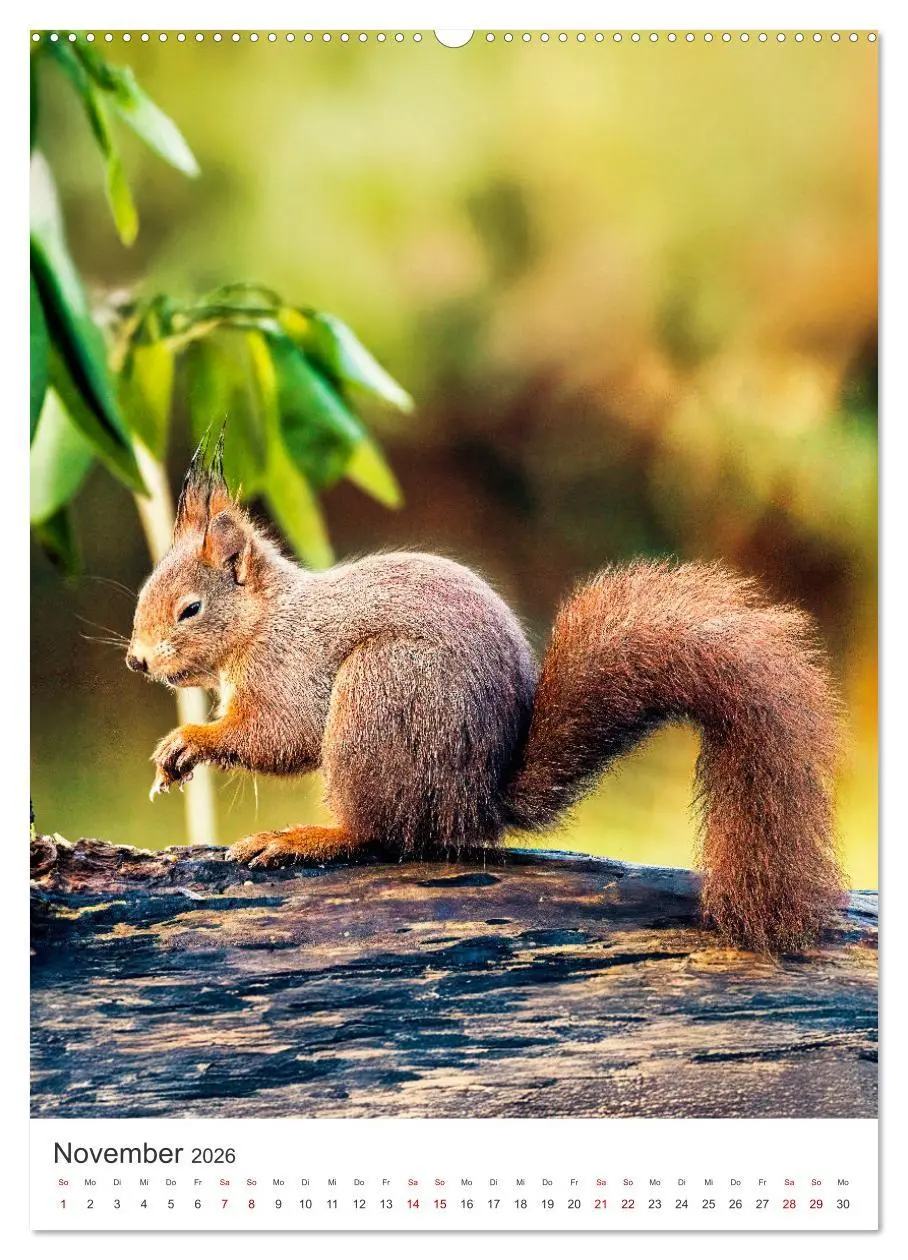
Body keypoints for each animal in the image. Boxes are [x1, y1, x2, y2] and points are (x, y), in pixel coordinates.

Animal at [126, 444, 845, 954]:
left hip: (379, 693)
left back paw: (305, 838)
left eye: (190, 609)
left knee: (378, 833)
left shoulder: (291, 670)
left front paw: (189, 742)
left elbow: (281, 736)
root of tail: (475, 803)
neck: (265, 621)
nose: (137, 660)